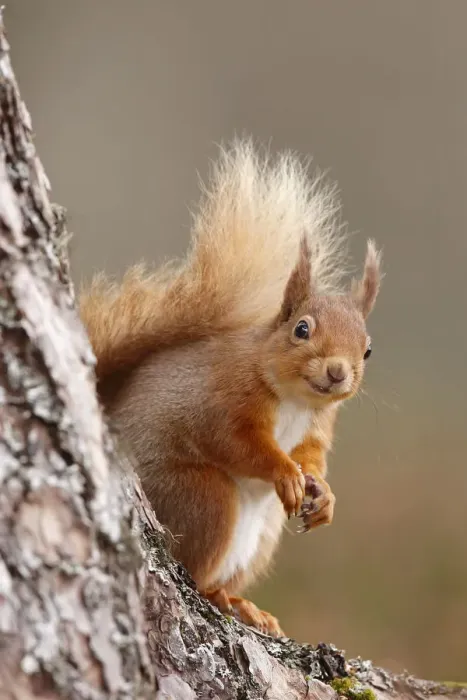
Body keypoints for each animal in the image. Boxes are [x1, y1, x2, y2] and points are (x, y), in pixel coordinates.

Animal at [79, 139, 381, 638]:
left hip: (264, 534)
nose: (339, 372)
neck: (295, 400)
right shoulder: (224, 396)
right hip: (203, 498)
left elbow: (312, 456)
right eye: (301, 329)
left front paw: (323, 494)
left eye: (368, 349)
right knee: (197, 571)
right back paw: (216, 594)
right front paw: (283, 472)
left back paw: (244, 604)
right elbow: (236, 442)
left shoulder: (318, 424)